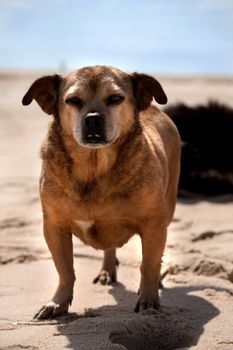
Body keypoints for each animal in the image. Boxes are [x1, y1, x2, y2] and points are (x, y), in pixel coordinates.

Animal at [21, 66, 181, 320]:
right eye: (72, 100)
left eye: (115, 98)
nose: (93, 118)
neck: (93, 168)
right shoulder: (54, 227)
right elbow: (65, 270)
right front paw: (58, 302)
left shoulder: (153, 225)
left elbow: (149, 264)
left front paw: (149, 299)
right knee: (109, 248)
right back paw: (107, 271)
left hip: (168, 208)